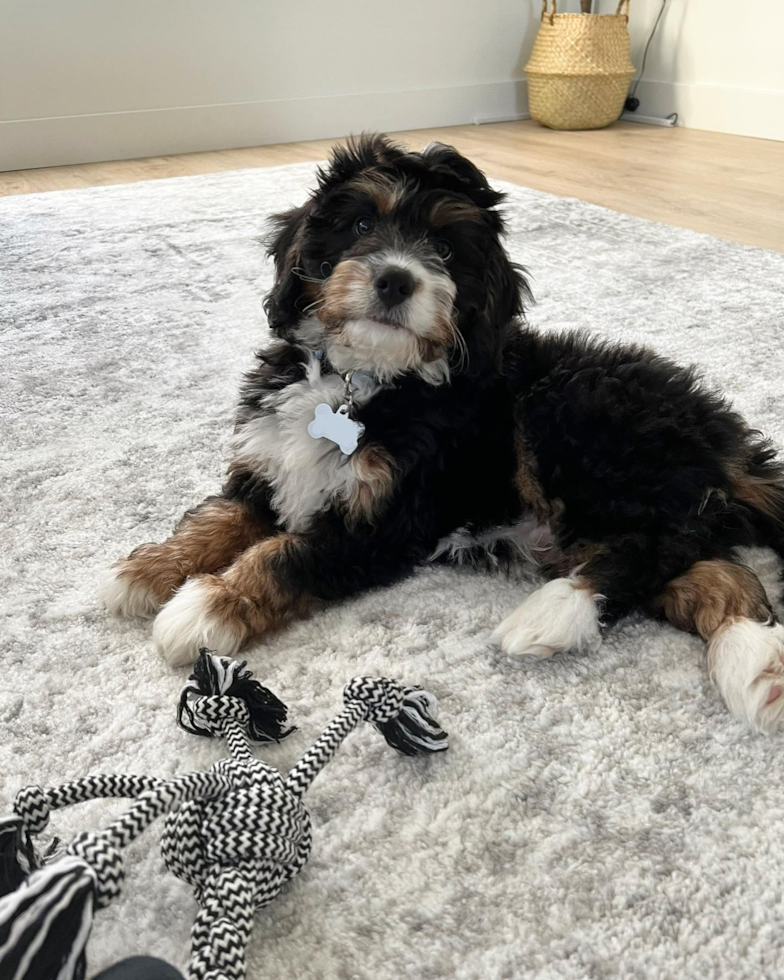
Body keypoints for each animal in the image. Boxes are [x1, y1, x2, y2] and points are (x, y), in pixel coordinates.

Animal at [102, 132, 784, 728]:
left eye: (449, 251)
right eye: (360, 226)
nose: (395, 278)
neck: (360, 380)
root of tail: (719, 434)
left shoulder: (384, 518)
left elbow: (284, 552)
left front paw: (207, 606)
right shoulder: (266, 467)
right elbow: (218, 517)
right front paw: (148, 570)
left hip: (575, 421)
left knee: (666, 538)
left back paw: (557, 612)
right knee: (716, 568)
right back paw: (754, 663)